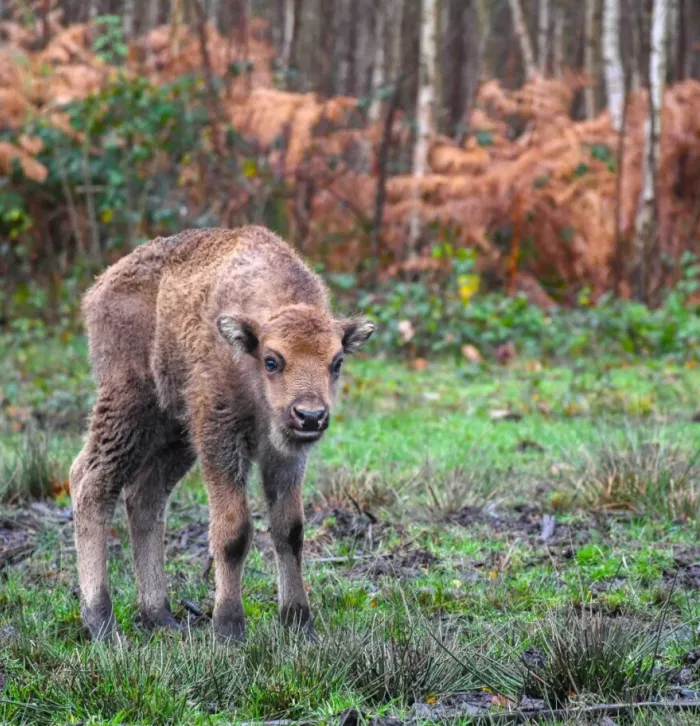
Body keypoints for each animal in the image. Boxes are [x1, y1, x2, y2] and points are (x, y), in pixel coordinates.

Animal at [71, 229, 374, 644]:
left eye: (337, 362)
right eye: (272, 361)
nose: (310, 416)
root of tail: (99, 288)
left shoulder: (285, 458)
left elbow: (289, 530)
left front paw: (299, 623)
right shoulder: (220, 440)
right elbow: (234, 532)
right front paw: (229, 627)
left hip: (176, 433)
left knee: (144, 498)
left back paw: (159, 616)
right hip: (130, 406)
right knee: (91, 484)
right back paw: (102, 622)